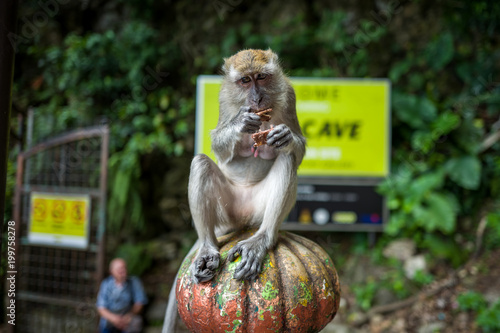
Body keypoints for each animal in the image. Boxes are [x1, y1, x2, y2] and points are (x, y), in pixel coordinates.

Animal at [163, 49, 304, 332]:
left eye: (261, 77)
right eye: (245, 81)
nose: (256, 98)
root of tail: (243, 221)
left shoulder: (289, 94)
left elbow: (299, 148)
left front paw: (285, 136)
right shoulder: (224, 98)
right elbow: (219, 145)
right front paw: (241, 122)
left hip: (258, 211)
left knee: (286, 159)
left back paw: (262, 239)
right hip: (227, 211)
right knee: (201, 163)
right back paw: (208, 248)